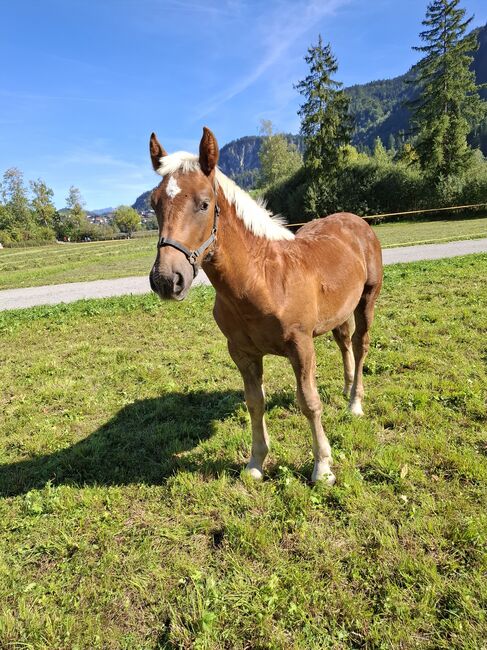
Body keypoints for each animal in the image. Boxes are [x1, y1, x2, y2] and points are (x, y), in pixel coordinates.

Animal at [148, 127, 383, 484]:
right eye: (154, 204)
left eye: (204, 204)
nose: (166, 279)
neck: (262, 279)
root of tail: (356, 221)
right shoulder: (242, 353)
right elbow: (254, 403)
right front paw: (256, 463)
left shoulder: (301, 346)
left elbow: (309, 402)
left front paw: (322, 467)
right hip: (340, 310)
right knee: (345, 341)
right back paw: (346, 389)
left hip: (367, 299)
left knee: (361, 344)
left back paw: (355, 403)